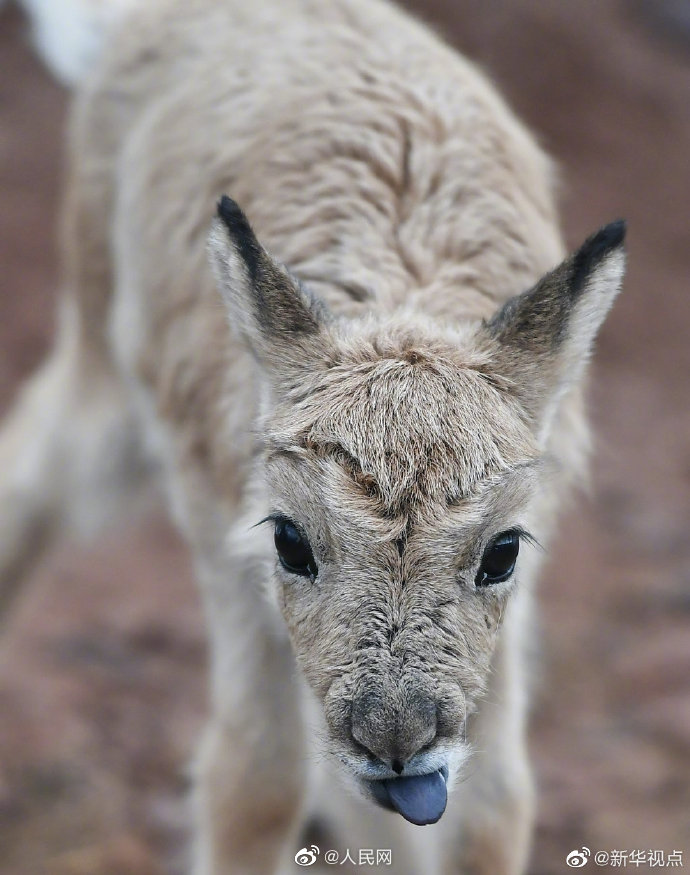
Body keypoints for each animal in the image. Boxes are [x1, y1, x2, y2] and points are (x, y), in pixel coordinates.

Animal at [1, 1, 624, 875]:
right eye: (290, 540)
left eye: (502, 551)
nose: (395, 740)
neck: (402, 290)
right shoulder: (230, 550)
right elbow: (254, 784)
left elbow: (493, 810)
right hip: (103, 381)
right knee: (30, 472)